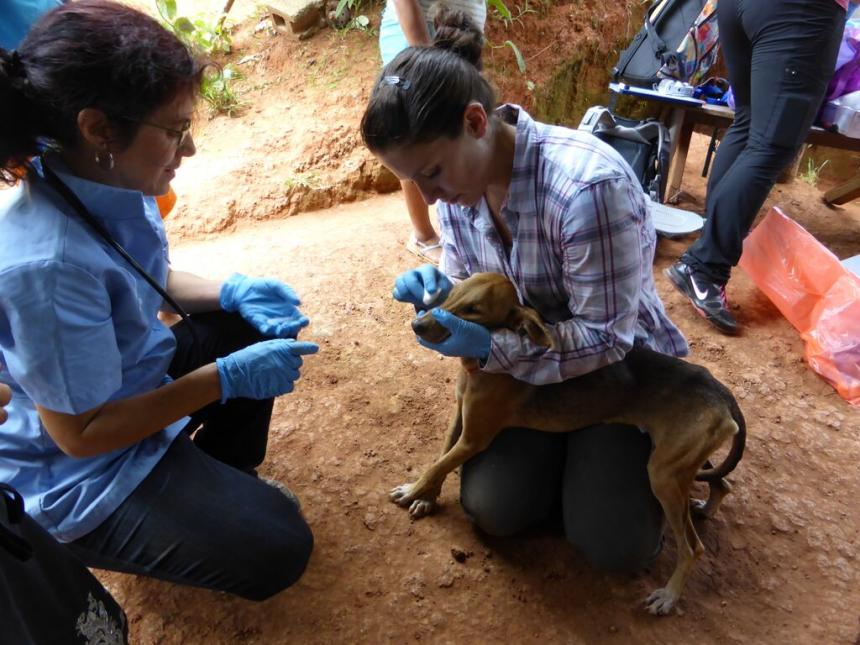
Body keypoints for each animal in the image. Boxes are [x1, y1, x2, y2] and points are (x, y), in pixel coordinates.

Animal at [392, 272, 744, 612]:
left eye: (473, 310)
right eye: (452, 293)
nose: (417, 325)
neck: (479, 366)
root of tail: (718, 389)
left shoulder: (474, 439)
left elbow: (438, 464)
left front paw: (413, 490)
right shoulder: (459, 415)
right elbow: (440, 457)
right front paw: (426, 498)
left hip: (663, 473)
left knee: (693, 547)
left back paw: (669, 596)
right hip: (677, 456)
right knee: (722, 483)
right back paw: (706, 507)